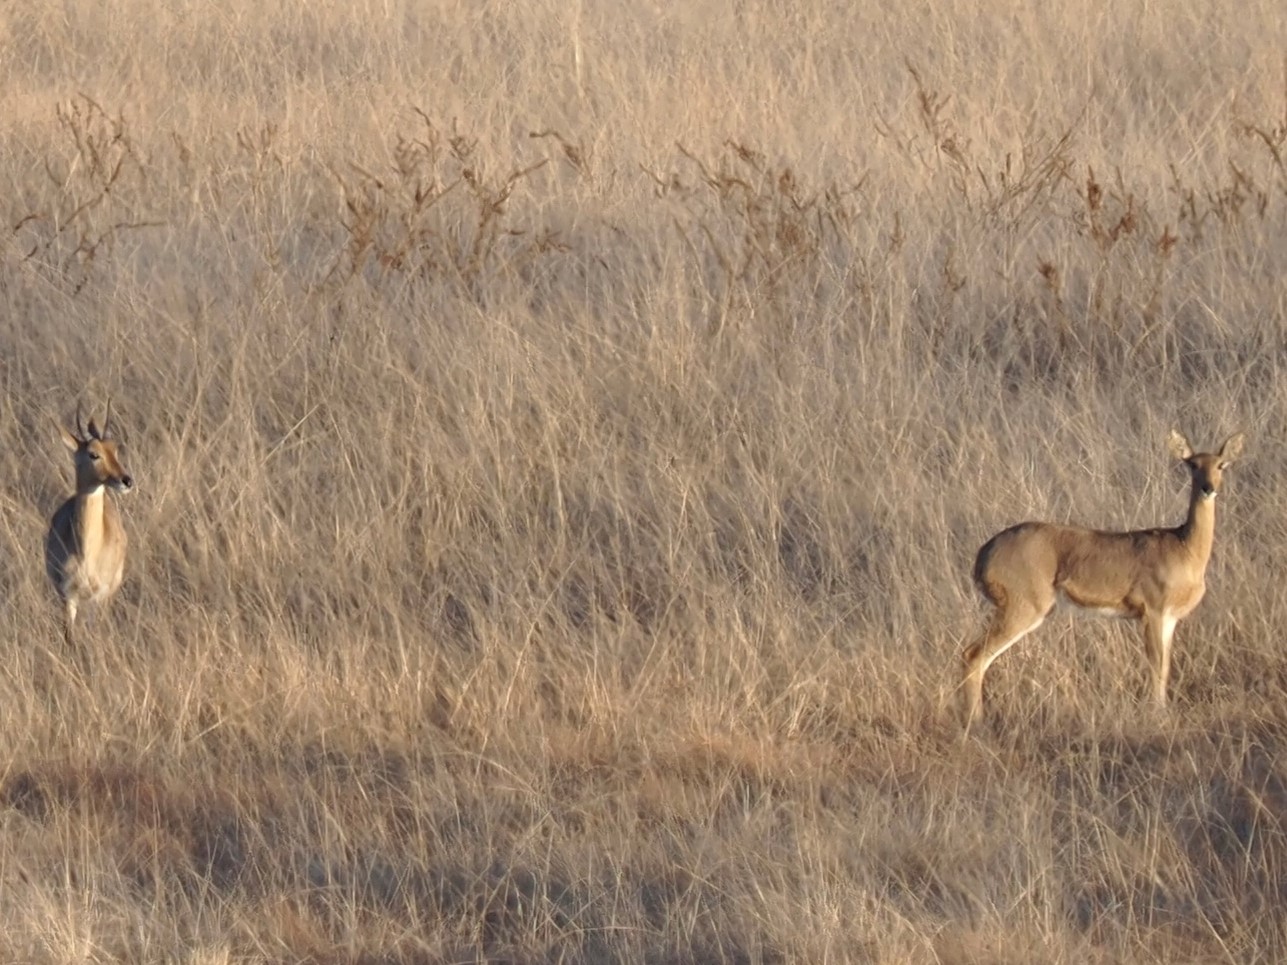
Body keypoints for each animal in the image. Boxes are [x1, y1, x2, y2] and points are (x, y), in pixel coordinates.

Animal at [44, 404, 133, 645]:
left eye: (115, 449)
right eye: (94, 454)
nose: (126, 480)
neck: (87, 552)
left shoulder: (101, 596)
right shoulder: (68, 595)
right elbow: (69, 637)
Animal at [967, 429, 1245, 730]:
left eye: (1221, 465)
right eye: (1192, 464)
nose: (1208, 488)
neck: (1185, 548)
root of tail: (984, 554)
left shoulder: (1170, 618)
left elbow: (1165, 666)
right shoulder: (1153, 611)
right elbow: (1156, 665)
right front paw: (1157, 714)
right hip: (1023, 607)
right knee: (974, 655)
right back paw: (976, 722)